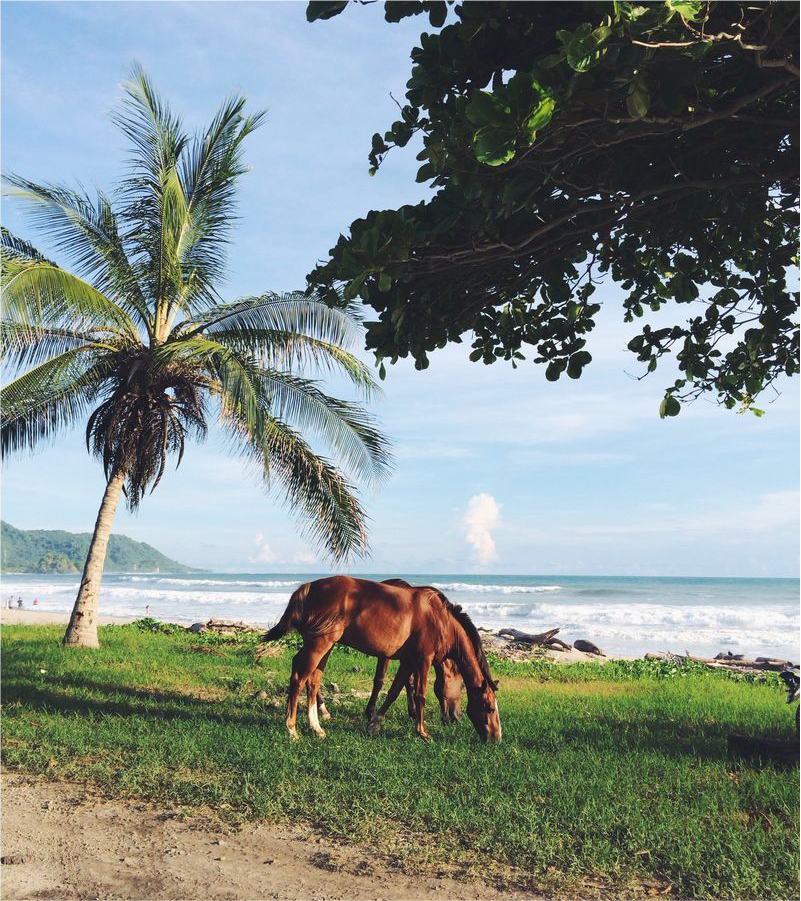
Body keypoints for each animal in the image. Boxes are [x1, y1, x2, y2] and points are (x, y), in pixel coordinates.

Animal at [261, 576, 500, 742]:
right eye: (489, 707)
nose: (496, 738)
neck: (440, 619)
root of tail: (309, 586)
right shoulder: (423, 660)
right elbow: (420, 694)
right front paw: (422, 732)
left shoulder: (408, 661)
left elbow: (394, 691)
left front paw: (375, 723)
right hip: (318, 644)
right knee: (299, 677)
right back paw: (292, 729)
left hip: (325, 646)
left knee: (313, 681)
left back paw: (316, 727)